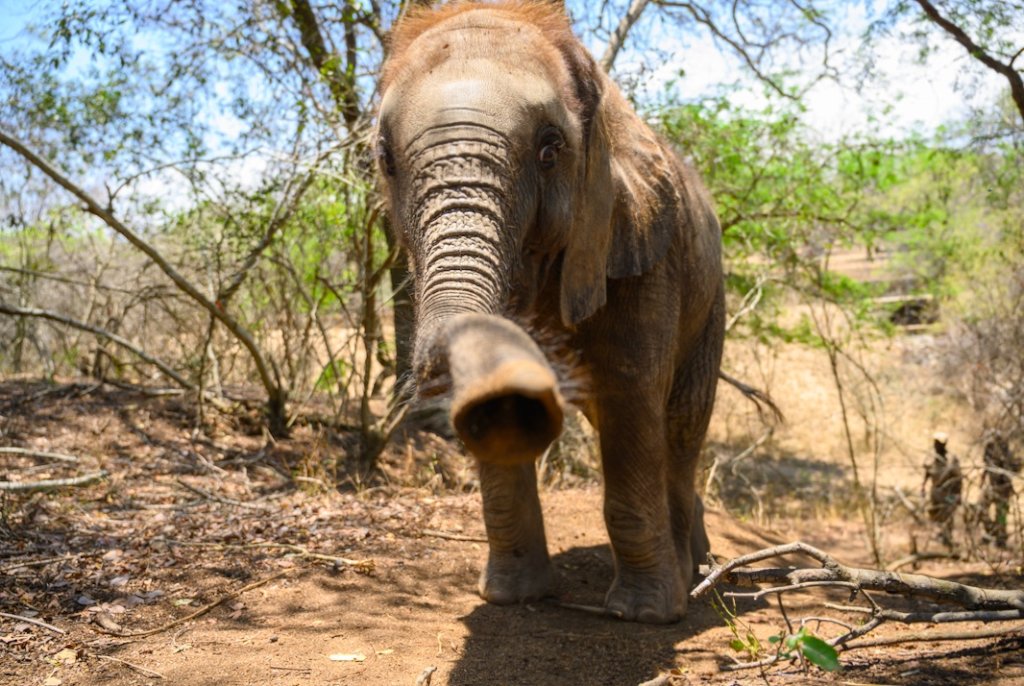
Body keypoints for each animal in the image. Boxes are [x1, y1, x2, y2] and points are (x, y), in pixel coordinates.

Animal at [376, 0, 724, 623]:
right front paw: (513, 597)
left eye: (549, 148)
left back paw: (694, 575)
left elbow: (634, 395)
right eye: (385, 158)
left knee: (681, 425)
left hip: (711, 300)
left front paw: (642, 615)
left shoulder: (640, 250)